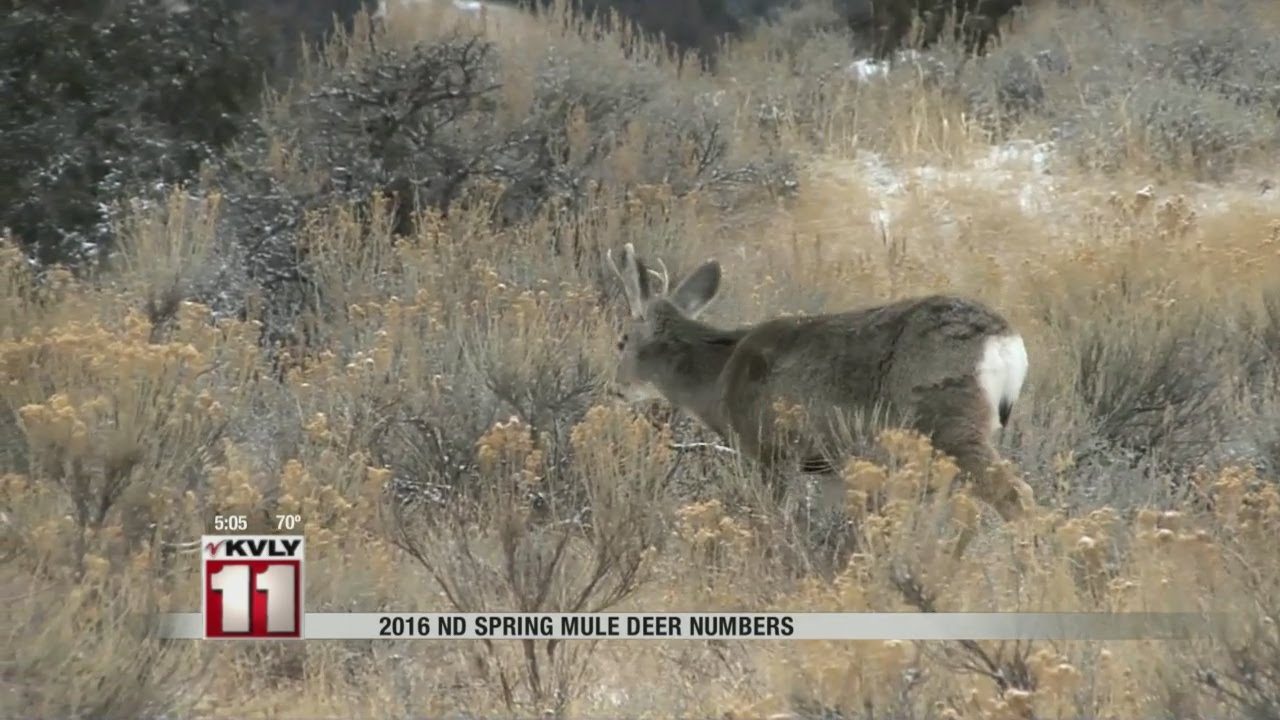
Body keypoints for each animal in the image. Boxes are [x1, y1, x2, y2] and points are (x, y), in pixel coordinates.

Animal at [604, 243, 1036, 556]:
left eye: (621, 340)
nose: (615, 387)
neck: (721, 377)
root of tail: (1006, 340)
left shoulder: (771, 451)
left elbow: (770, 521)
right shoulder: (829, 467)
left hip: (949, 420)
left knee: (1014, 495)